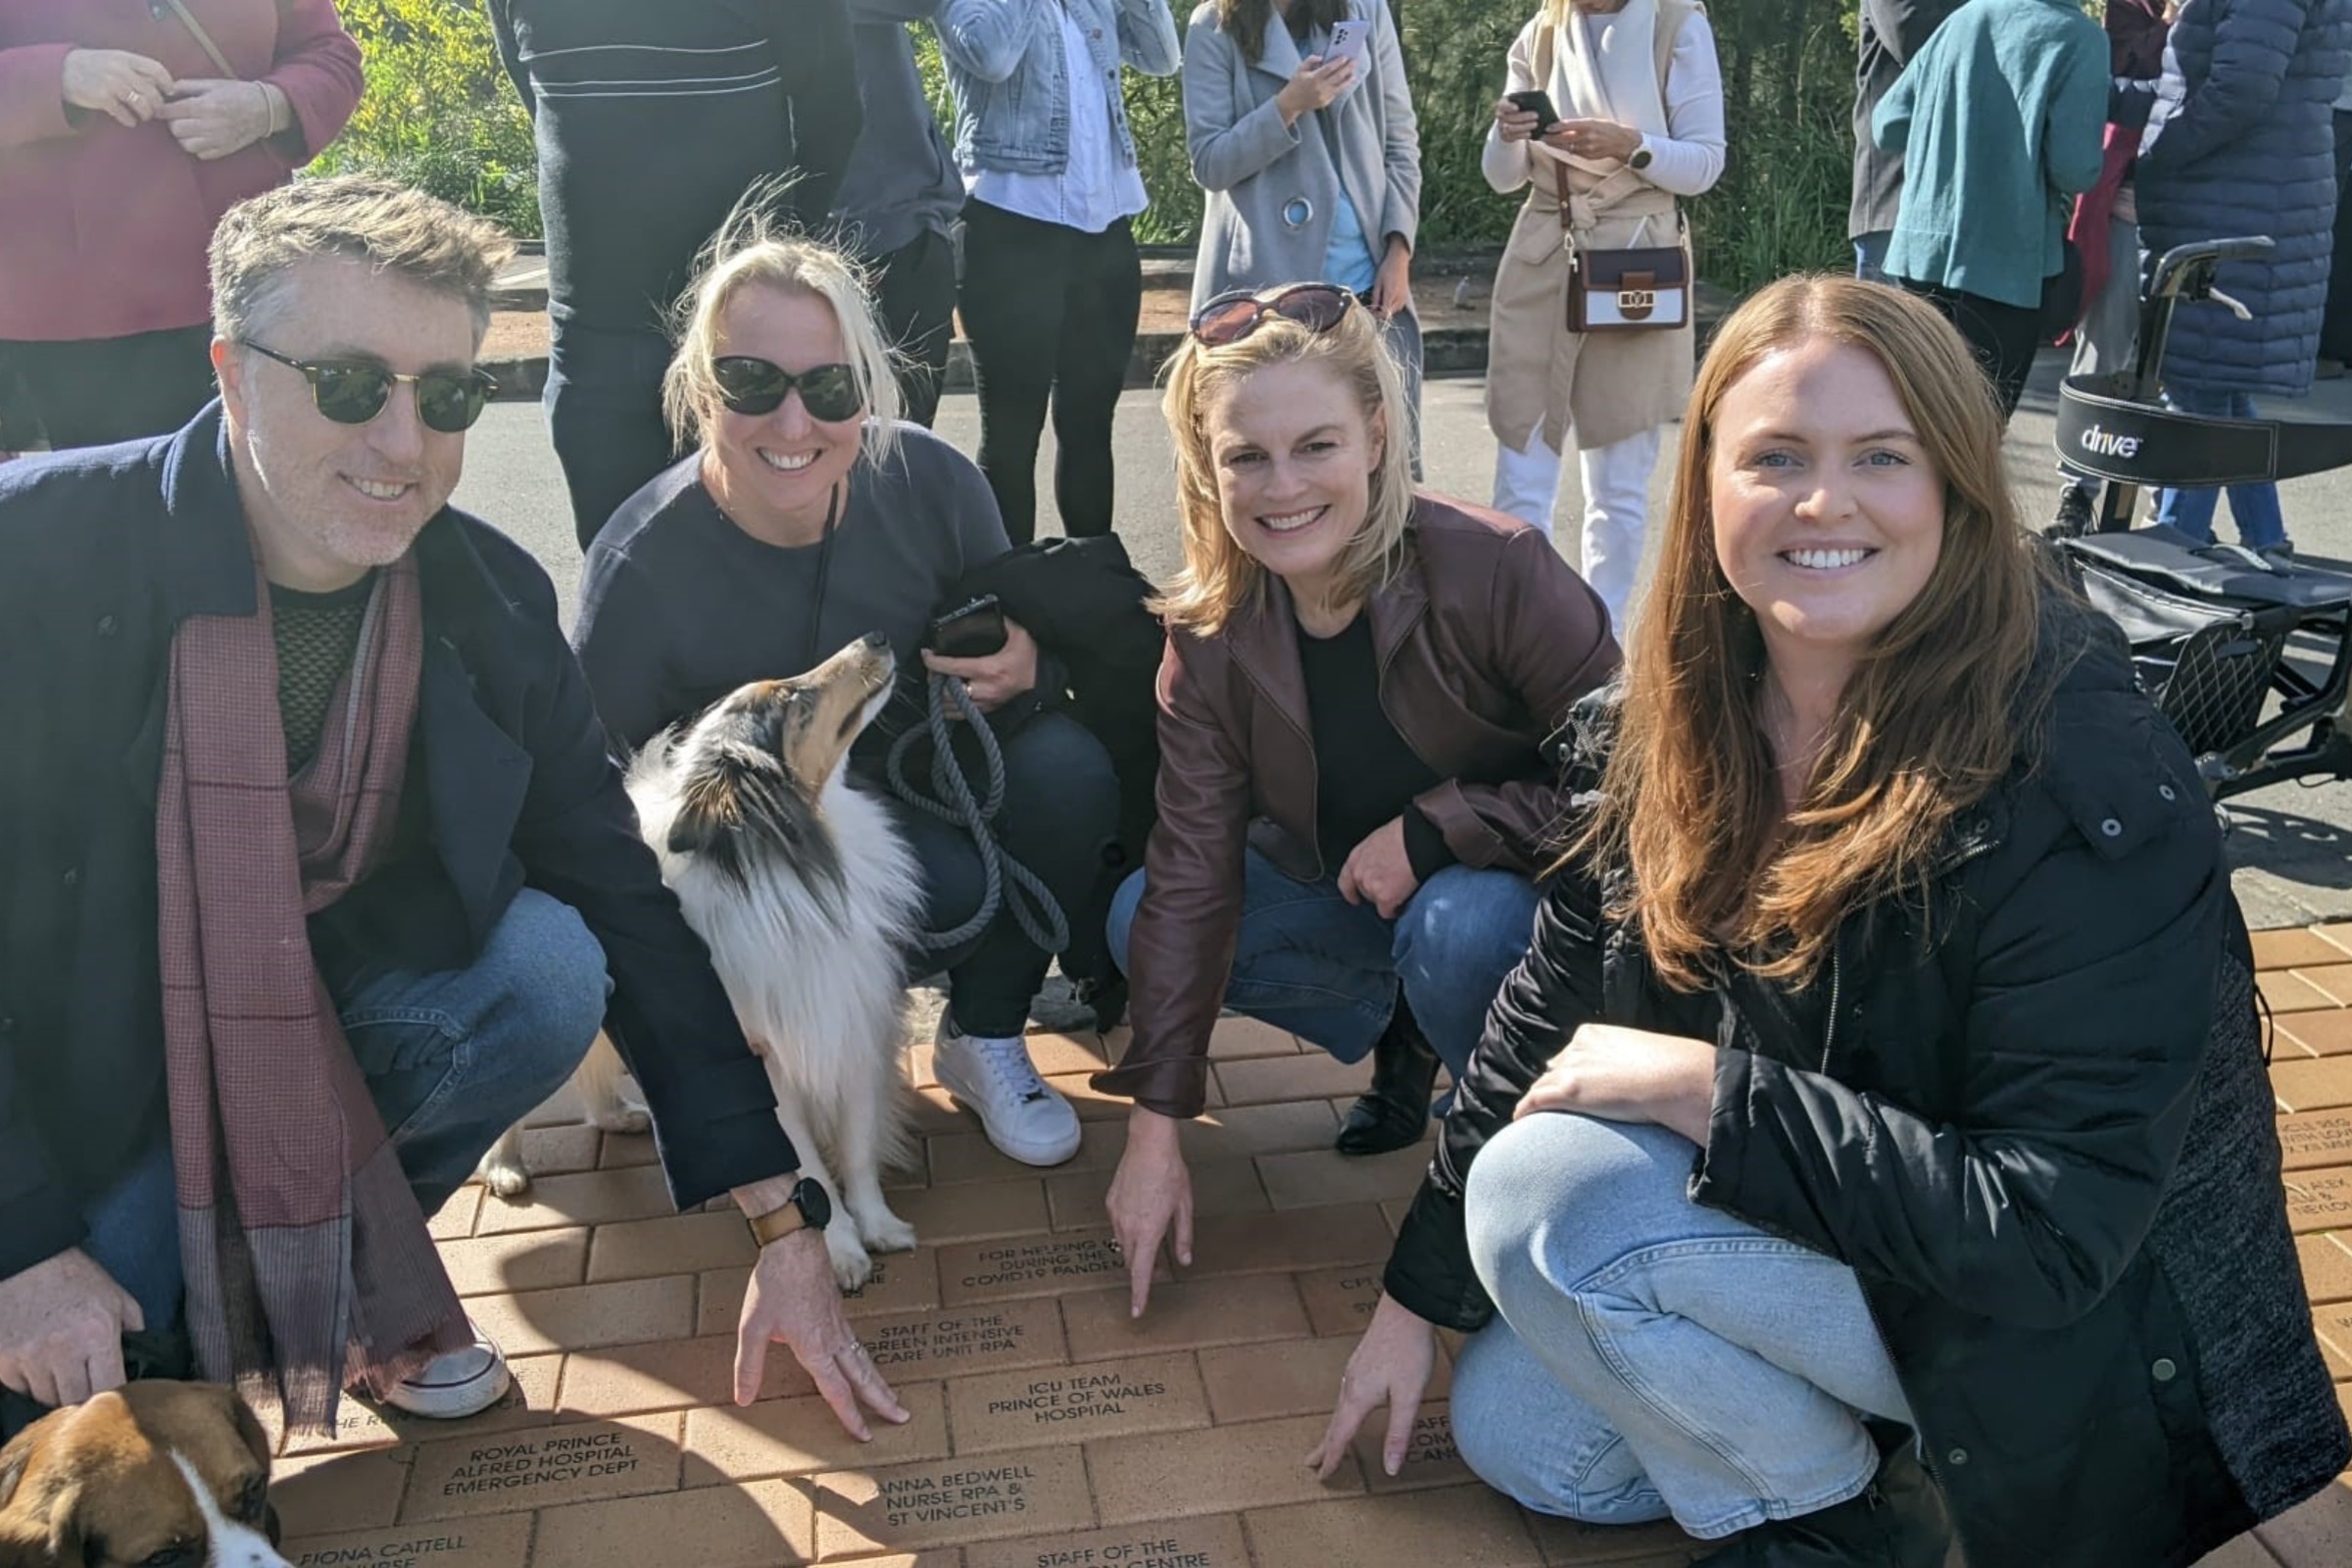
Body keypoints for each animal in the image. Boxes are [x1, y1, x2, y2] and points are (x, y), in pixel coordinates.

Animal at [482, 629, 921, 1298]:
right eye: (790, 699)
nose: (877, 636)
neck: (793, 865)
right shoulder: (765, 1060)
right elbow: (811, 1169)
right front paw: (841, 1253)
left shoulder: (854, 1028)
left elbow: (857, 1145)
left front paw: (881, 1227)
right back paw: (505, 1166)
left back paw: (619, 1117)